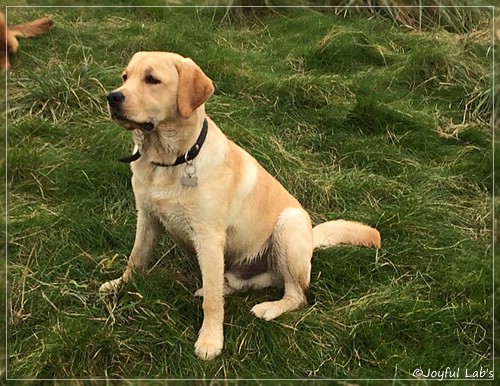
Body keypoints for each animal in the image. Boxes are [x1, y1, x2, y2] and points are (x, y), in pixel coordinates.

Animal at [101, 50, 380, 358]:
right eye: (125, 77)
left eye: (152, 79)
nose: (113, 97)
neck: (170, 160)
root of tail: (311, 237)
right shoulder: (148, 217)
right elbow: (136, 258)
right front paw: (120, 284)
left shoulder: (208, 238)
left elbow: (212, 302)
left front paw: (210, 340)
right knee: (252, 281)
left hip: (289, 225)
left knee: (296, 294)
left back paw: (269, 308)